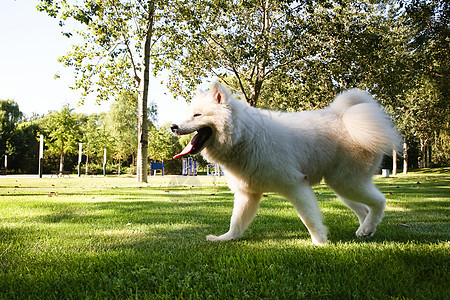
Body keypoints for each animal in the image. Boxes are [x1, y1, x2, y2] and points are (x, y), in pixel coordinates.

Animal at [172, 82, 400, 246]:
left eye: (197, 115)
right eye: (188, 114)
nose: (173, 126)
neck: (245, 136)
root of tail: (344, 117)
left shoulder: (296, 185)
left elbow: (309, 218)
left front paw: (320, 242)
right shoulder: (248, 195)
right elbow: (236, 222)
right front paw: (226, 238)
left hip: (347, 183)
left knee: (379, 201)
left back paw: (367, 227)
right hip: (341, 186)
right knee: (364, 209)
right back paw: (366, 231)